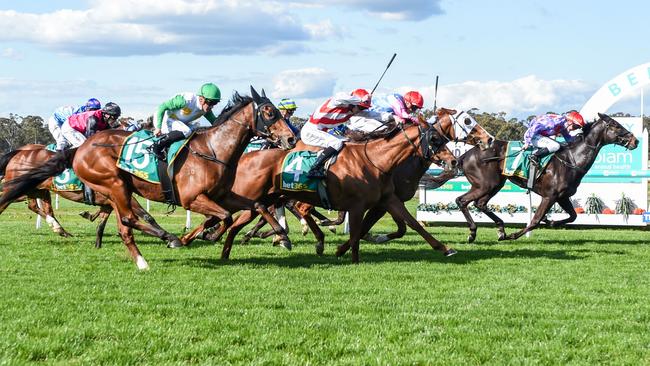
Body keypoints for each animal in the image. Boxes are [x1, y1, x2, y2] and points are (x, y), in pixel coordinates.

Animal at [0, 87, 296, 268]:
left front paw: (281, 235)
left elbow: (255, 206)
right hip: (115, 184)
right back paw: (157, 247)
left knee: (122, 222)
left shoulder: (223, 195)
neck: (213, 150)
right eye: (269, 112)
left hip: (112, 189)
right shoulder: (192, 198)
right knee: (128, 219)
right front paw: (207, 235)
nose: (291, 138)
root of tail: (79, 149)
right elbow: (224, 217)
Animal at [448, 113, 636, 242]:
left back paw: (500, 229)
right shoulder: (549, 196)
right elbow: (535, 220)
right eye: (616, 125)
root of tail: (466, 154)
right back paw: (473, 232)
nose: (636, 141)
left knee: (480, 203)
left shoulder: (562, 197)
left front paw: (550, 221)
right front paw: (514, 235)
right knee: (462, 201)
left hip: (495, 184)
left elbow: (573, 216)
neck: (571, 160)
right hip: (485, 184)